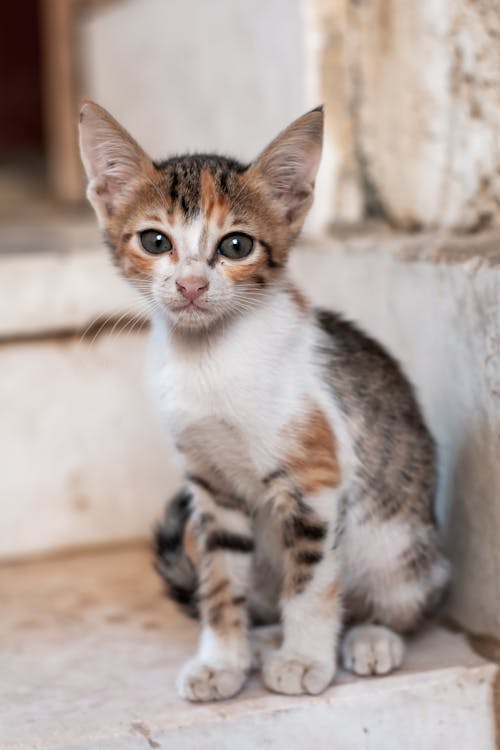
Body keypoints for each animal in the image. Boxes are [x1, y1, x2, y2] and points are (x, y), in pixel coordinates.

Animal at [79, 101, 450, 704]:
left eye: (236, 246)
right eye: (156, 242)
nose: (190, 286)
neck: (207, 359)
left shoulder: (315, 478)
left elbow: (313, 582)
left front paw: (304, 660)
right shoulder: (211, 488)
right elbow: (219, 581)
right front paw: (223, 661)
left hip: (395, 543)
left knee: (399, 599)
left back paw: (370, 637)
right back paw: (263, 639)